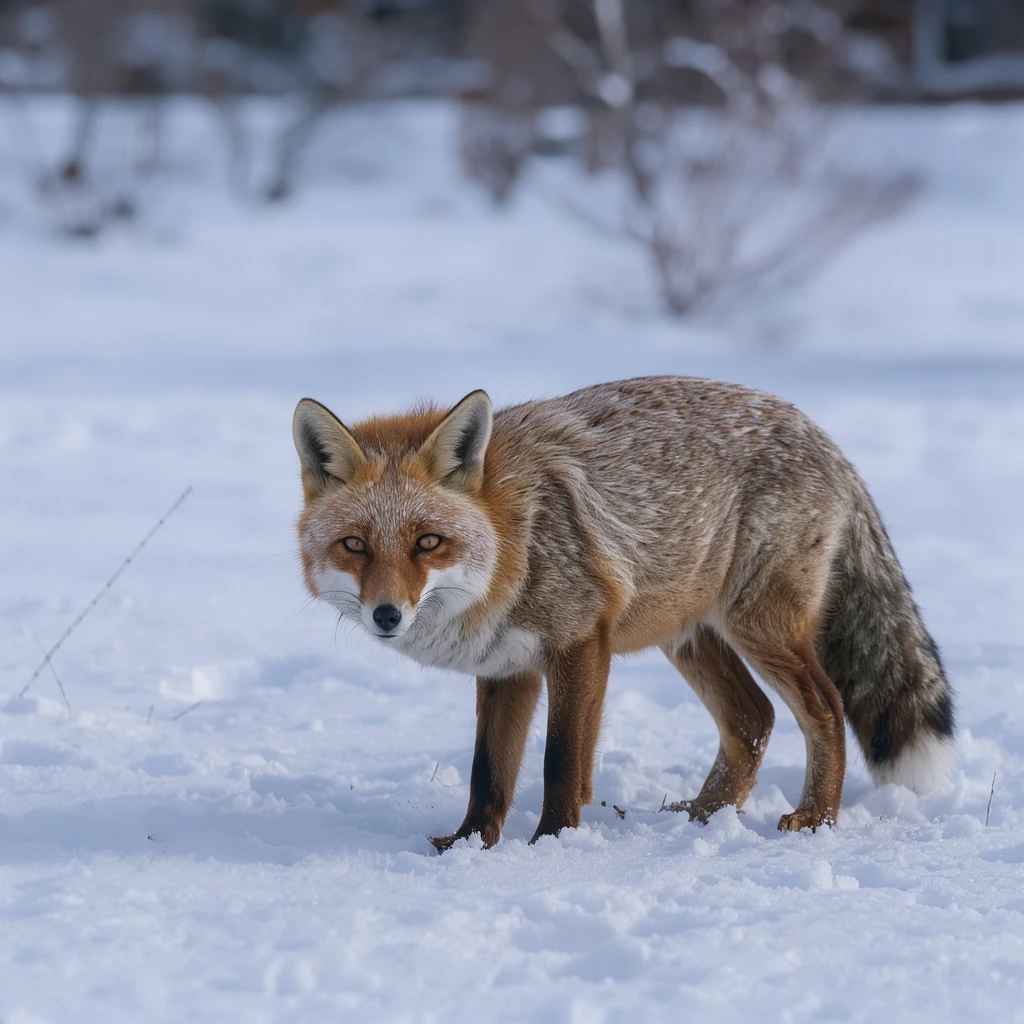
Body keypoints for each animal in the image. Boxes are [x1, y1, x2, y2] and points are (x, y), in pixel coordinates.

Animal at [292, 376, 954, 849]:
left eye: (428, 542)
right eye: (355, 545)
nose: (386, 615)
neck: (516, 543)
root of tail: (820, 432)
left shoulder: (581, 644)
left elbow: (561, 762)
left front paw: (552, 843)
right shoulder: (507, 670)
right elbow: (488, 774)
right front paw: (466, 848)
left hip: (758, 627)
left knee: (826, 708)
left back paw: (815, 817)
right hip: (688, 635)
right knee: (752, 717)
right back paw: (702, 817)